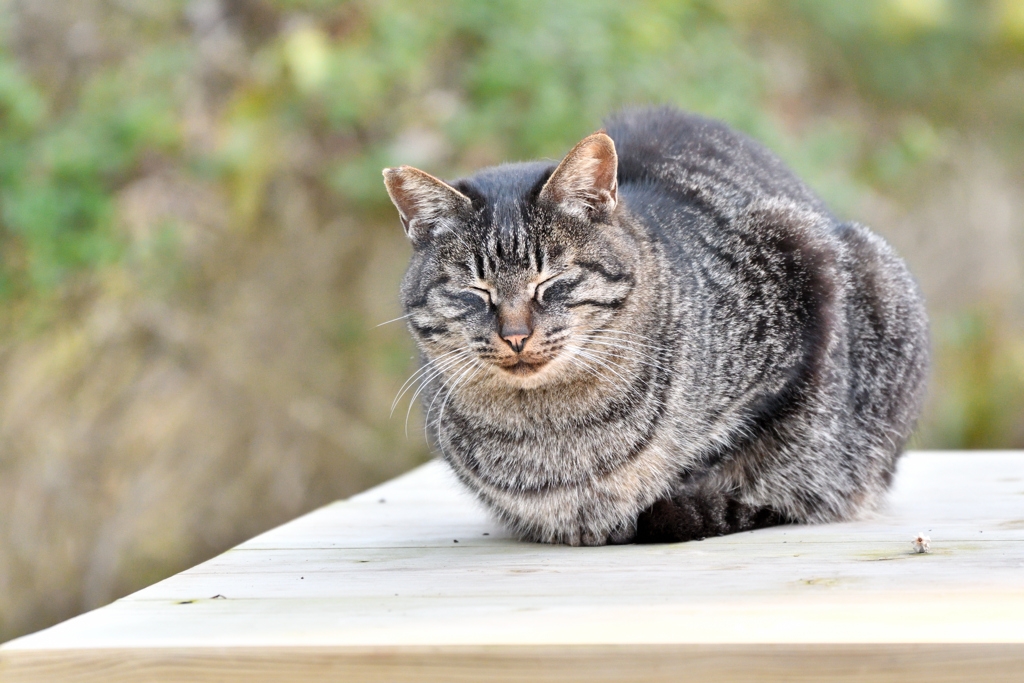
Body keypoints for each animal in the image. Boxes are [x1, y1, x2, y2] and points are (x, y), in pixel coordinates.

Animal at [382, 105, 929, 544]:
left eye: (551, 280)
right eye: (477, 291)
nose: (515, 335)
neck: (548, 429)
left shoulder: (801, 283)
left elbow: (721, 458)